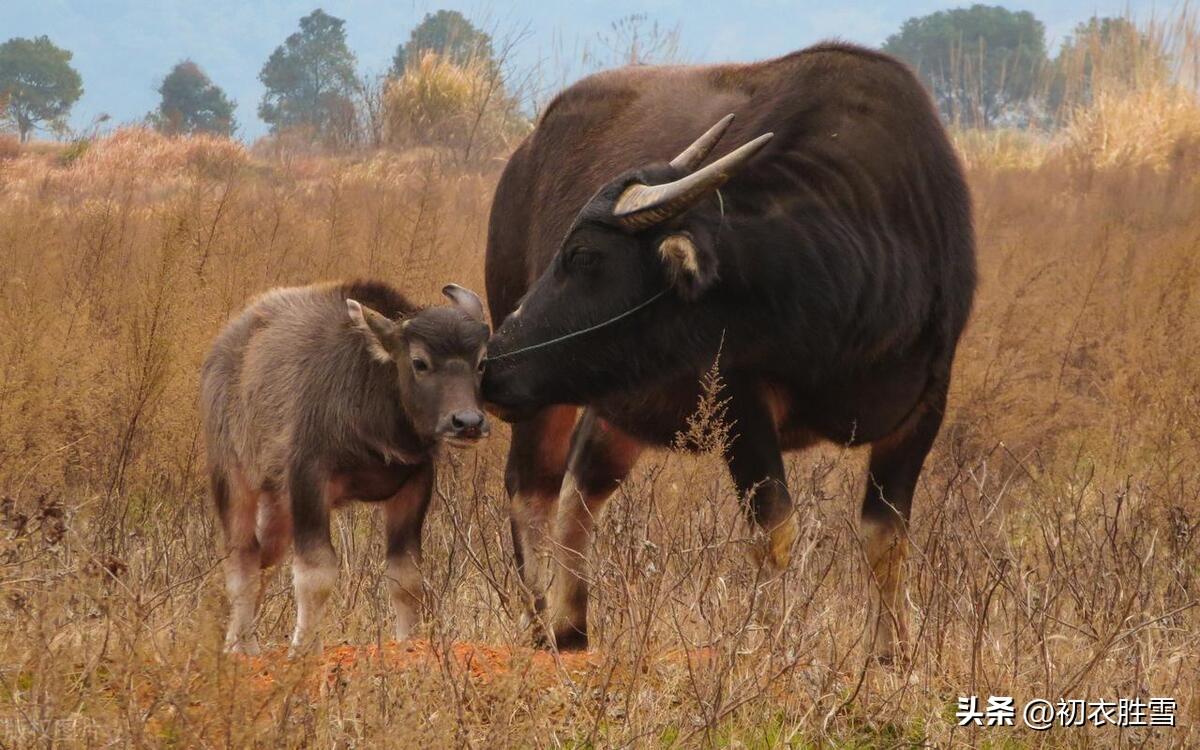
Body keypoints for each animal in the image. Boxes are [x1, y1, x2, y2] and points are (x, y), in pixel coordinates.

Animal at [201, 278, 487, 652]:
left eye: (481, 363)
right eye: (419, 362)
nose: (467, 422)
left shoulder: (415, 484)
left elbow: (406, 576)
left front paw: (408, 644)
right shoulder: (309, 480)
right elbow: (316, 574)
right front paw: (303, 649)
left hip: (279, 505)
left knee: (264, 559)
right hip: (234, 480)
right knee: (242, 562)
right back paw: (242, 647)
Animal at [480, 42, 974, 662]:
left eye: (584, 255)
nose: (491, 362)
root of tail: (522, 159)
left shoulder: (926, 405)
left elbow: (885, 536)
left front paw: (889, 652)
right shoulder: (739, 400)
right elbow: (775, 531)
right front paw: (767, 643)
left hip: (617, 402)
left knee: (580, 488)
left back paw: (572, 624)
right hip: (542, 393)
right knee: (531, 488)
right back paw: (542, 618)